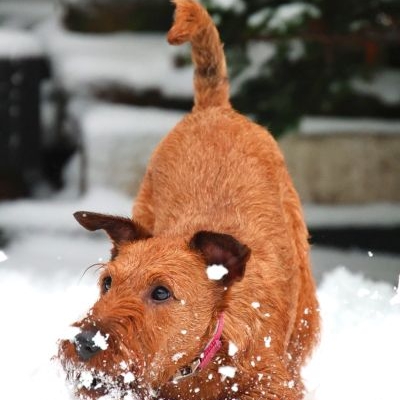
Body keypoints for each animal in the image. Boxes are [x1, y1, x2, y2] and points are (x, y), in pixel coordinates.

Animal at [58, 1, 318, 398]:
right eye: (107, 283)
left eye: (162, 292)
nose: (87, 343)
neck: (200, 362)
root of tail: (213, 108)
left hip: (304, 311)